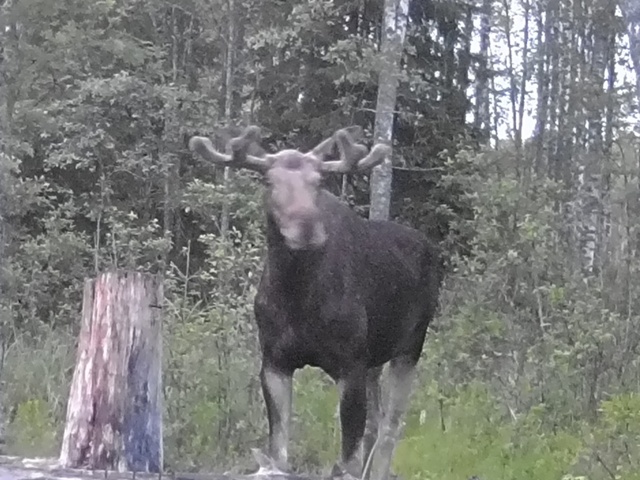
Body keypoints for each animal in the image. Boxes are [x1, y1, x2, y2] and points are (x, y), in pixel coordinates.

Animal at [188, 125, 444, 480]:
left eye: (319, 181)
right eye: (269, 181)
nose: (306, 227)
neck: (298, 296)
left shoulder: (350, 365)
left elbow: (346, 462)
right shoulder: (275, 362)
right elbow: (278, 454)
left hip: (409, 347)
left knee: (391, 428)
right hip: (374, 360)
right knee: (377, 426)